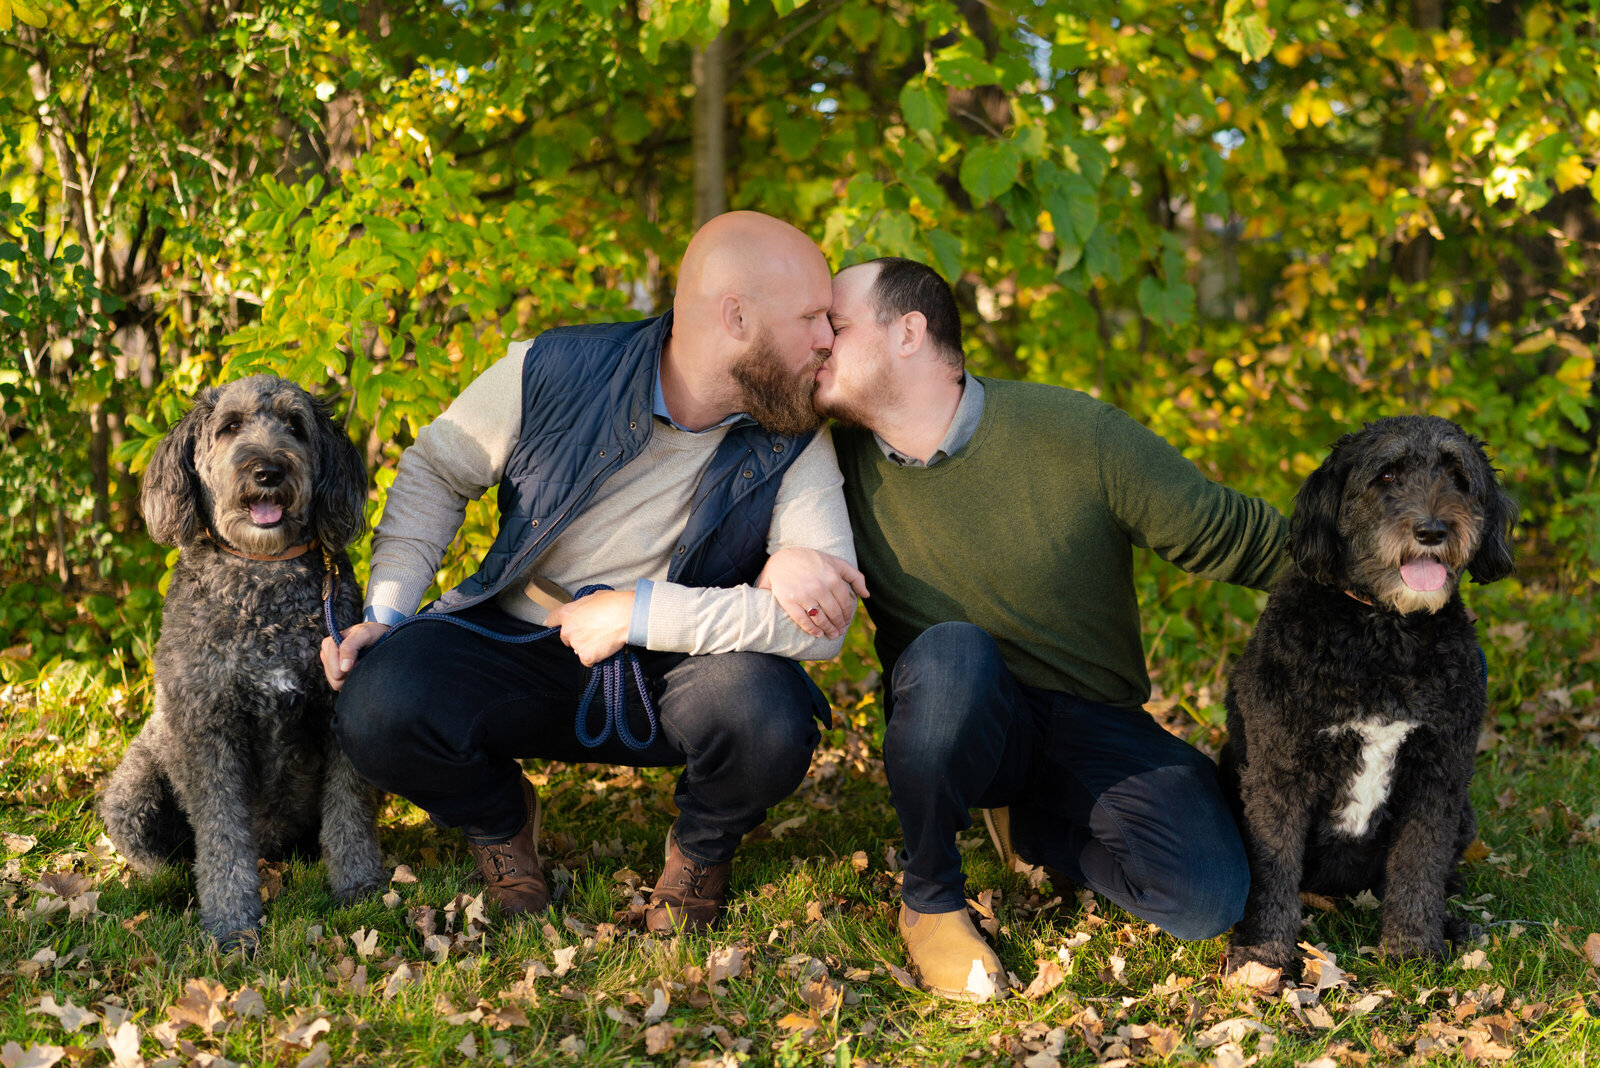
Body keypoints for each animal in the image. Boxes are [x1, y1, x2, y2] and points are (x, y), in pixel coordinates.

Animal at [100, 374, 387, 940]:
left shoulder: (336, 718)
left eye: (295, 426)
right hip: (134, 791)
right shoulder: (209, 732)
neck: (264, 572)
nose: (268, 470)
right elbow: (222, 838)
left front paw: (359, 886)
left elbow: (348, 815)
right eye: (230, 426)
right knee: (162, 854)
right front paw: (232, 922)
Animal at [1216, 415, 1516, 978]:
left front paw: (1413, 946)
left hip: (1464, 813)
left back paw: (1454, 924)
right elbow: (1272, 864)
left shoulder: (1437, 774)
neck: (1386, 632)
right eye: (1388, 475)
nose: (1433, 531)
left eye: (1458, 476)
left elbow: (1420, 865)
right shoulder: (1279, 770)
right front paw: (1263, 955)